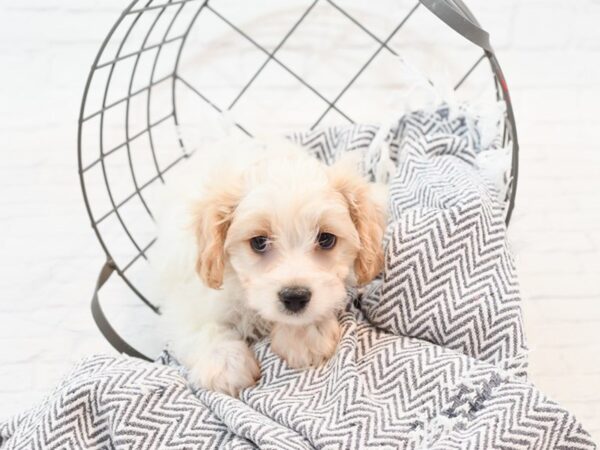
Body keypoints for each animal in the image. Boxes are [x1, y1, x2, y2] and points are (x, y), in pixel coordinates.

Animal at [152, 135, 386, 396]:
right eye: (259, 242)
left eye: (326, 239)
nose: (295, 297)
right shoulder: (189, 297)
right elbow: (201, 325)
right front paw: (225, 364)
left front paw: (303, 335)